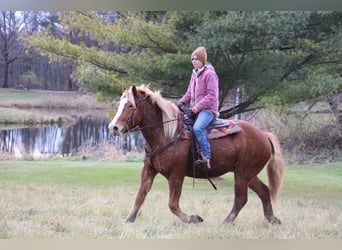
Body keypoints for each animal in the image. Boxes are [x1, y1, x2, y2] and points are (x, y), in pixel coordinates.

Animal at [108, 84, 284, 225]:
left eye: (131, 105)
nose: (113, 127)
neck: (166, 133)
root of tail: (264, 135)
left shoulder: (176, 174)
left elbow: (173, 204)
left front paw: (193, 218)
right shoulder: (148, 171)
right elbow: (140, 196)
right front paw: (128, 219)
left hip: (242, 173)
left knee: (241, 198)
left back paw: (227, 221)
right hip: (248, 174)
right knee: (263, 191)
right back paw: (272, 219)